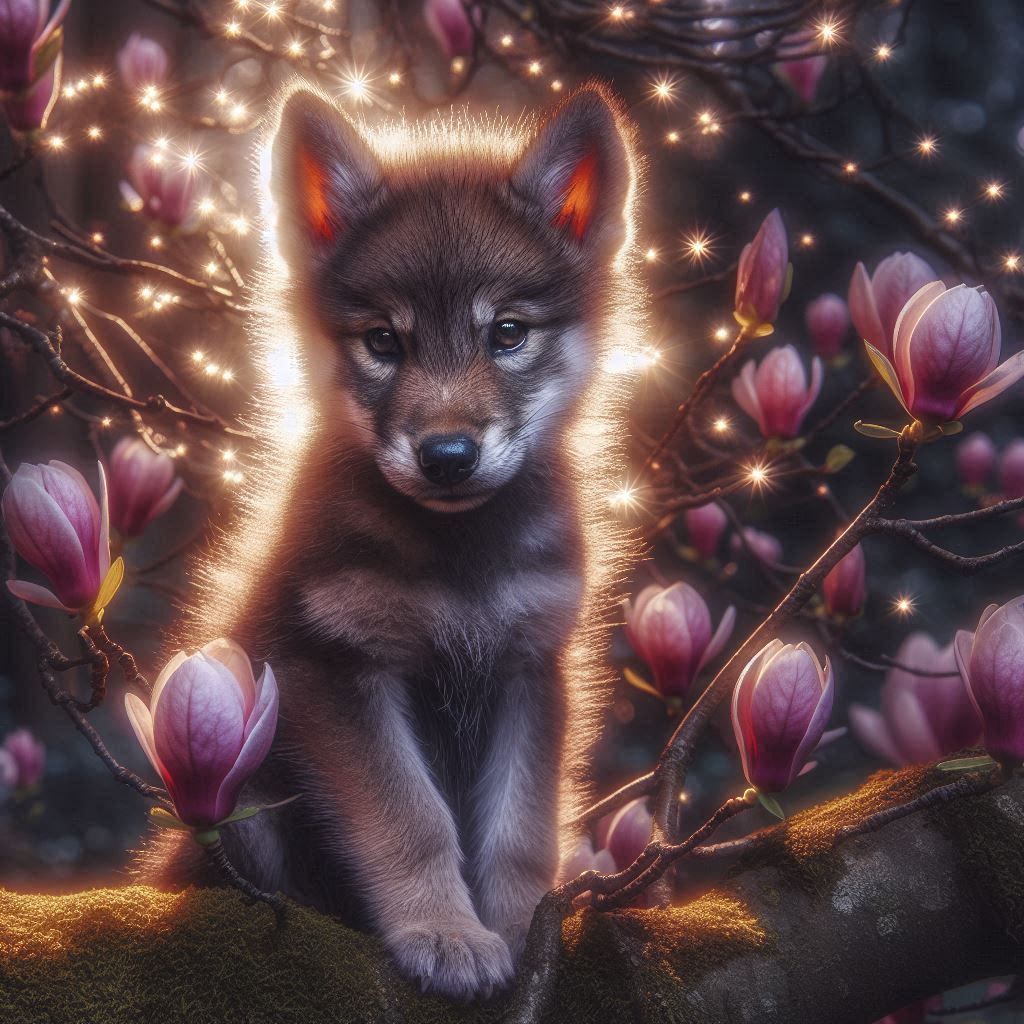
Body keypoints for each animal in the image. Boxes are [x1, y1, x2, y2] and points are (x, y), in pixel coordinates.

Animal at [138, 81, 646, 1000]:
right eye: (384, 342)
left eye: (506, 333)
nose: (447, 455)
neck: (457, 561)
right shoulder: (337, 668)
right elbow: (412, 820)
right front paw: (444, 933)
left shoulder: (529, 666)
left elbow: (519, 830)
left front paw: (519, 933)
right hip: (241, 797)